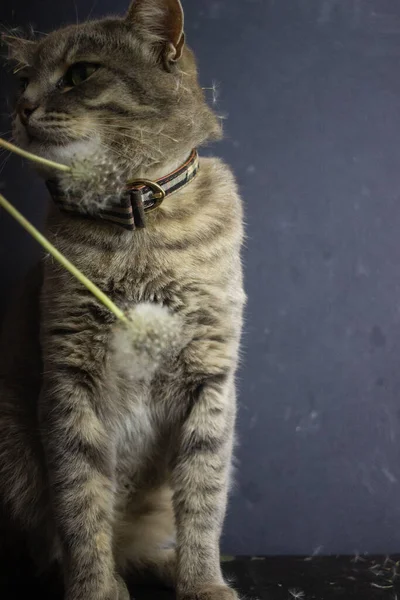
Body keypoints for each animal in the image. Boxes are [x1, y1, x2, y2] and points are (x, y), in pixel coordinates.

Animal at [0, 1, 245, 600]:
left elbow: (203, 497)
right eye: (22, 79)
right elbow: (81, 499)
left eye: (81, 74)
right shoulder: (69, 377)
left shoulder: (211, 377)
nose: (22, 106)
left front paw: (203, 582)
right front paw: (95, 587)